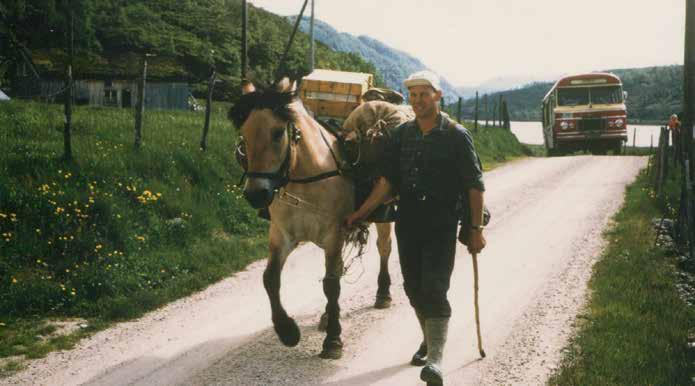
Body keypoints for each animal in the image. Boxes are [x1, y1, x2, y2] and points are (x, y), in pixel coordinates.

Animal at [228, 79, 392, 358]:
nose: (256, 194)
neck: (305, 178)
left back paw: (382, 293)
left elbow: (331, 285)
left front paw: (333, 340)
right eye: (244, 135)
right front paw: (287, 331)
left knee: (383, 250)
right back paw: (326, 316)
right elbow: (270, 279)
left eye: (277, 133)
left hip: (383, 220)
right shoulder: (282, 235)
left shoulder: (333, 234)